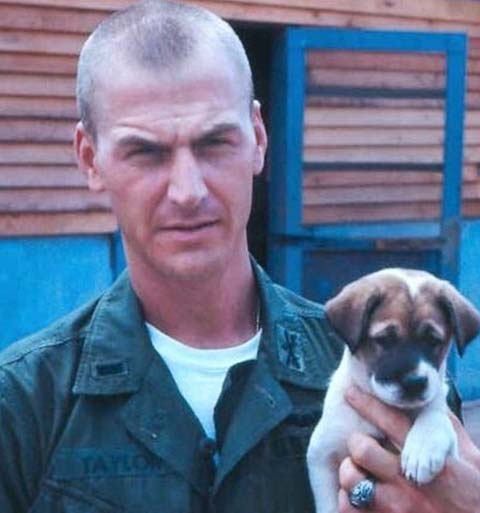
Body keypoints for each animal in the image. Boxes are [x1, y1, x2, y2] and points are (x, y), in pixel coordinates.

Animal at [308, 268, 480, 512]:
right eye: (385, 339)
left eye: (433, 341)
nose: (415, 382)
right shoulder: (322, 454)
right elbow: (329, 504)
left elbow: (434, 414)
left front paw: (422, 447)